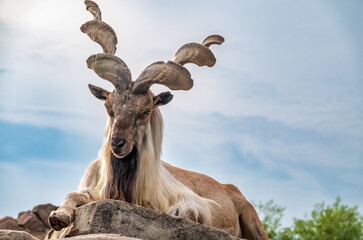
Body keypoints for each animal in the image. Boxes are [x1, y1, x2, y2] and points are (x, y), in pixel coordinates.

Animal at [48, 0, 268, 239]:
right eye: (108, 107)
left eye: (146, 111)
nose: (117, 144)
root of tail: (230, 187)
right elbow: (74, 195)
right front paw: (59, 217)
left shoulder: (189, 203)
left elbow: (181, 211)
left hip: (252, 219)